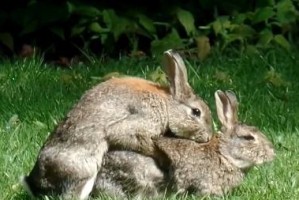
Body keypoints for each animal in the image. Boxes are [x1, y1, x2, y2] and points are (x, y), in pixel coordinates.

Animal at [21, 49, 213, 200]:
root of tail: (36, 182)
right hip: (84, 170)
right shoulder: (142, 120)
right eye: (196, 112)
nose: (208, 136)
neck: (168, 104)